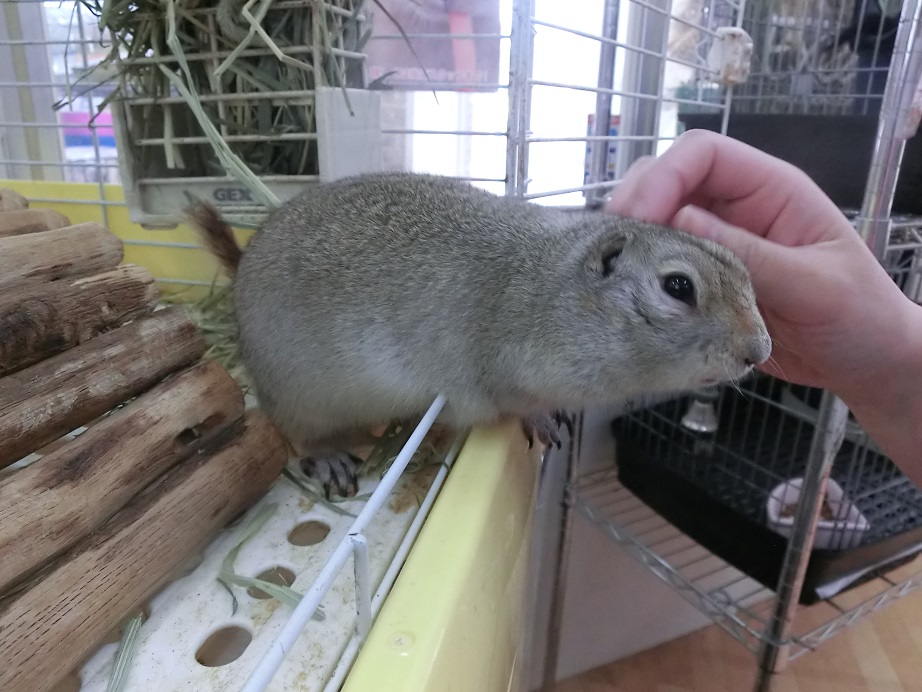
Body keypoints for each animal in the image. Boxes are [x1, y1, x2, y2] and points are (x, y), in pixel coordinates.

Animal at [188, 172, 771, 497]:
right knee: (301, 435)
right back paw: (329, 457)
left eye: (746, 272)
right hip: (299, 398)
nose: (760, 350)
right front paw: (542, 417)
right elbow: (514, 400)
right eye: (679, 286)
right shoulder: (510, 361)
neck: (555, 286)